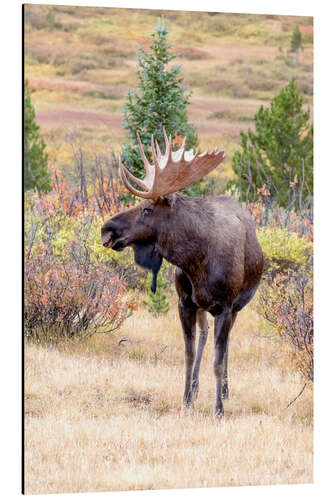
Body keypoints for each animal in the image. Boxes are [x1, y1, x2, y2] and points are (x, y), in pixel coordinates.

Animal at [101, 130, 262, 418]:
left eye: (147, 209)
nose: (106, 230)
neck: (196, 262)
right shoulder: (184, 302)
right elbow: (188, 354)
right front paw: (186, 400)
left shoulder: (225, 306)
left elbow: (218, 360)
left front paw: (218, 410)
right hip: (202, 307)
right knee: (204, 334)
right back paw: (198, 388)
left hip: (237, 306)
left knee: (226, 343)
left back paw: (225, 391)